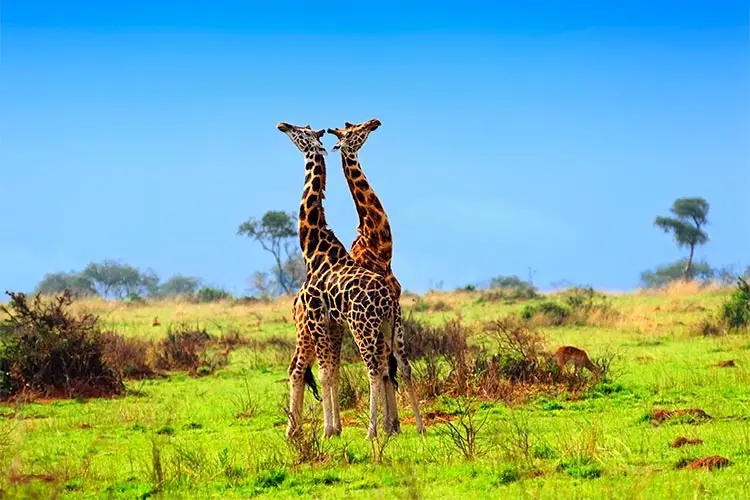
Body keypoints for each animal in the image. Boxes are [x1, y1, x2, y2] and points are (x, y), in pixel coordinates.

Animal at [278, 123, 406, 440]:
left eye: (301, 132)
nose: (282, 125)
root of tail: (294, 300)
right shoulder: (329, 320)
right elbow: (332, 371)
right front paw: (336, 428)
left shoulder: (327, 319)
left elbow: (333, 372)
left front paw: (333, 429)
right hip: (311, 329)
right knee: (298, 367)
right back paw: (294, 430)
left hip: (336, 326)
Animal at [328, 118, 426, 434]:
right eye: (353, 131)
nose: (374, 121)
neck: (380, 249)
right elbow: (385, 366)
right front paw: (389, 424)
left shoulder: (395, 307)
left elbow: (395, 365)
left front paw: (396, 424)